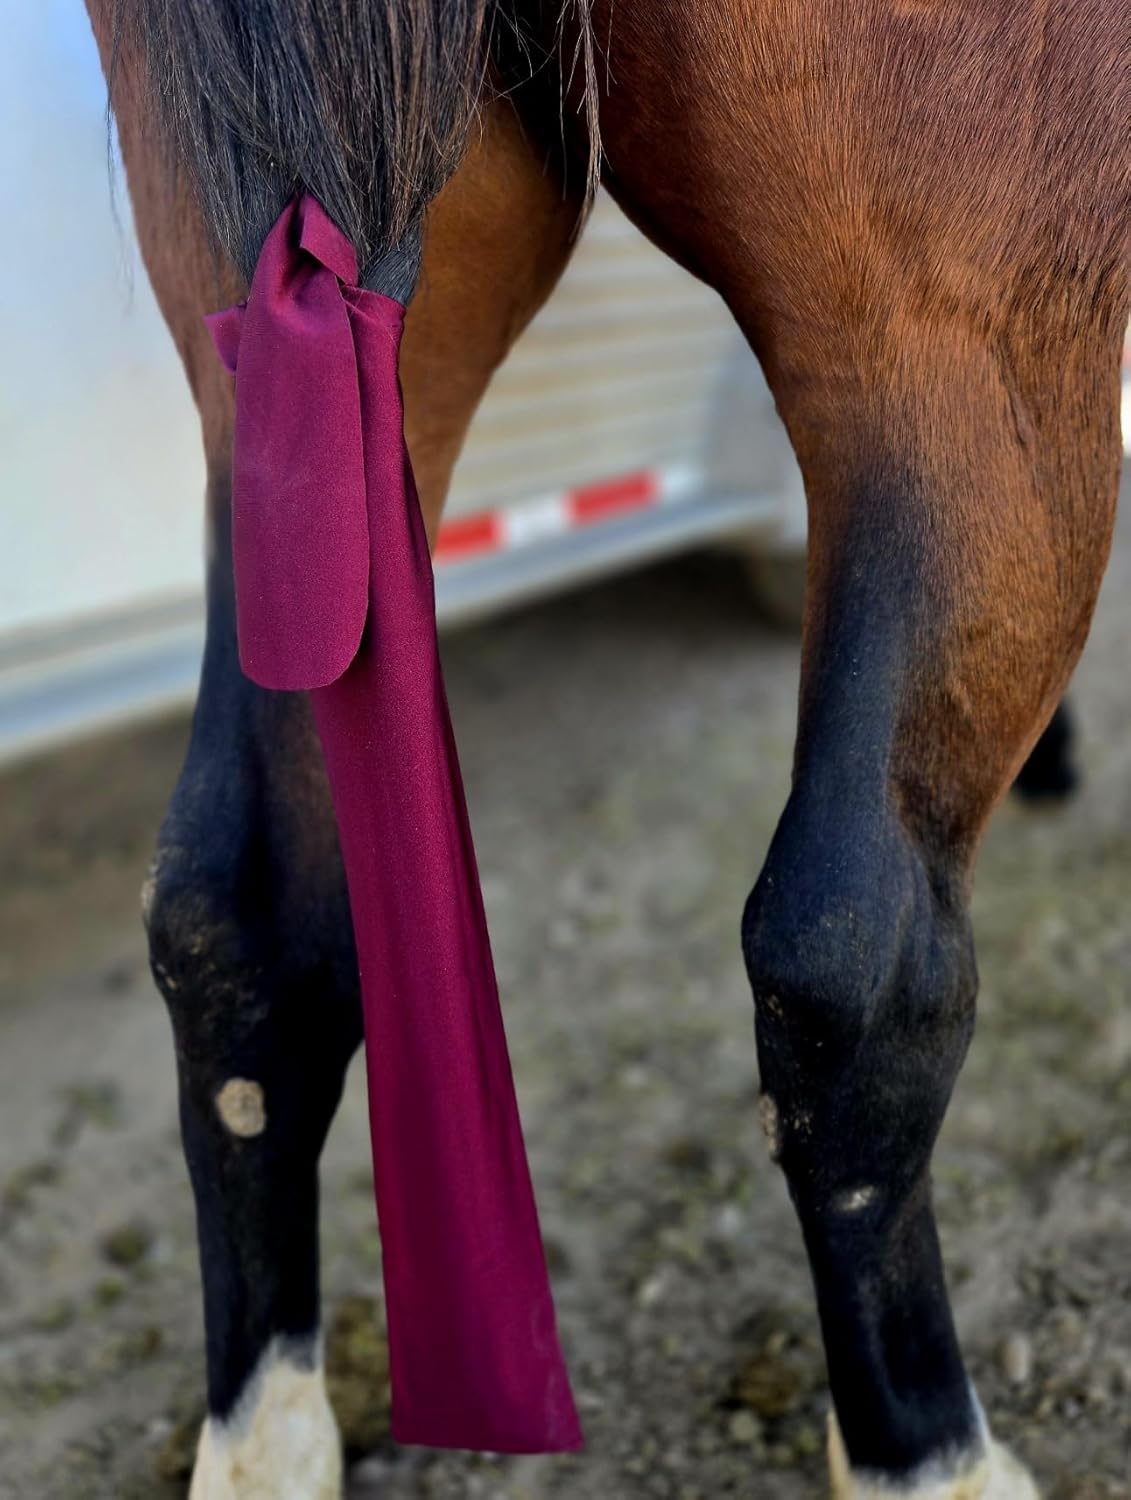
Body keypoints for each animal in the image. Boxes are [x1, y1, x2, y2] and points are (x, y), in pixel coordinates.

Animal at [84, 2, 1129, 1496]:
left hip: (308, 317)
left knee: (231, 910)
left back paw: (261, 1428)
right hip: (954, 343)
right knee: (848, 961)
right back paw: (926, 1450)